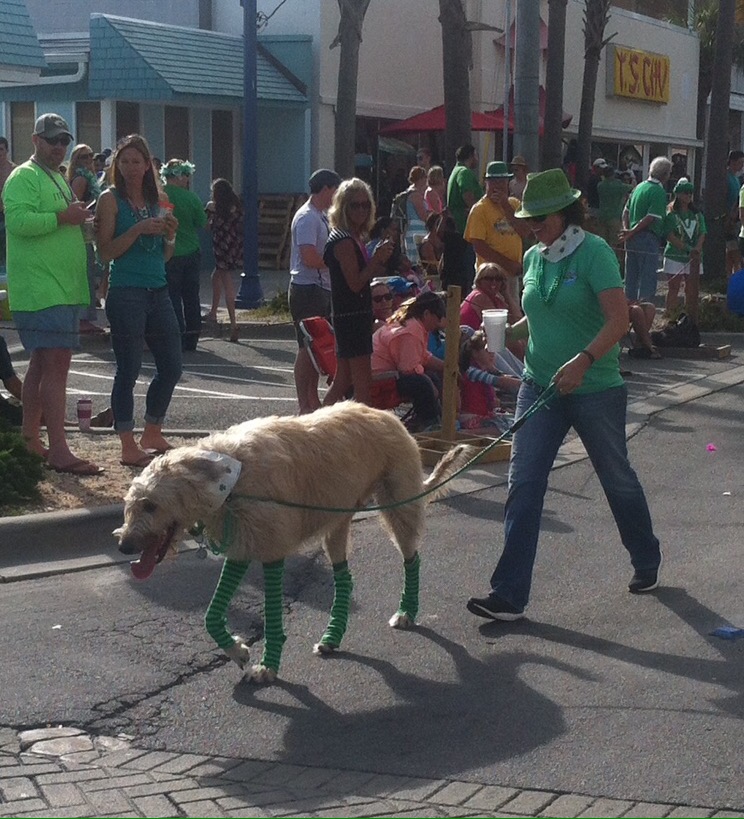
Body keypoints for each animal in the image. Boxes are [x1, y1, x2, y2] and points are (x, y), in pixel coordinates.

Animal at [116, 402, 476, 683]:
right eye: (130, 505)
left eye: (151, 505)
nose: (124, 547)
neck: (230, 479)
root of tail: (389, 416)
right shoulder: (242, 546)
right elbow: (210, 615)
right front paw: (238, 651)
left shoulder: (272, 549)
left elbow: (273, 617)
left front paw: (267, 667)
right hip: (338, 519)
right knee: (344, 576)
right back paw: (332, 636)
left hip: (398, 504)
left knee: (411, 557)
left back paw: (406, 612)